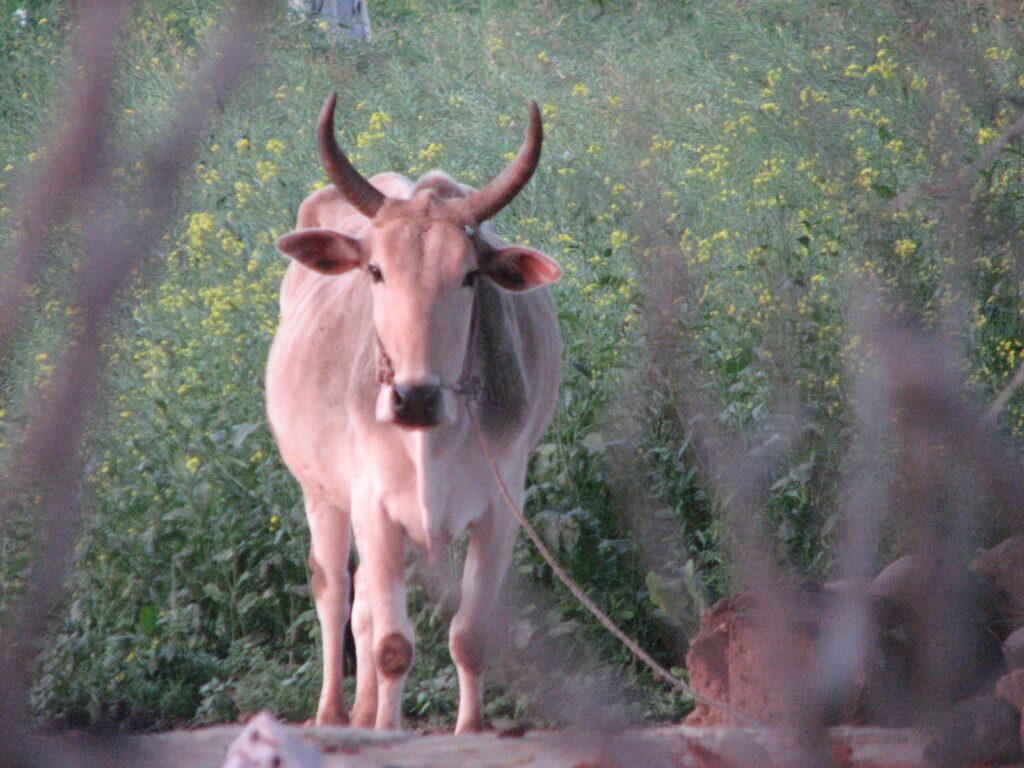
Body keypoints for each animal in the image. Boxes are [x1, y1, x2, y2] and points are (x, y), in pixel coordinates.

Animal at [265, 93, 561, 733]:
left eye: (470, 275)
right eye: (376, 271)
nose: (415, 396)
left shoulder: (499, 511)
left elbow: (469, 636)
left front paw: (469, 730)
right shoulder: (374, 508)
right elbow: (391, 645)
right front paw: (387, 729)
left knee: (363, 610)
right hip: (322, 496)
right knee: (336, 597)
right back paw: (335, 714)